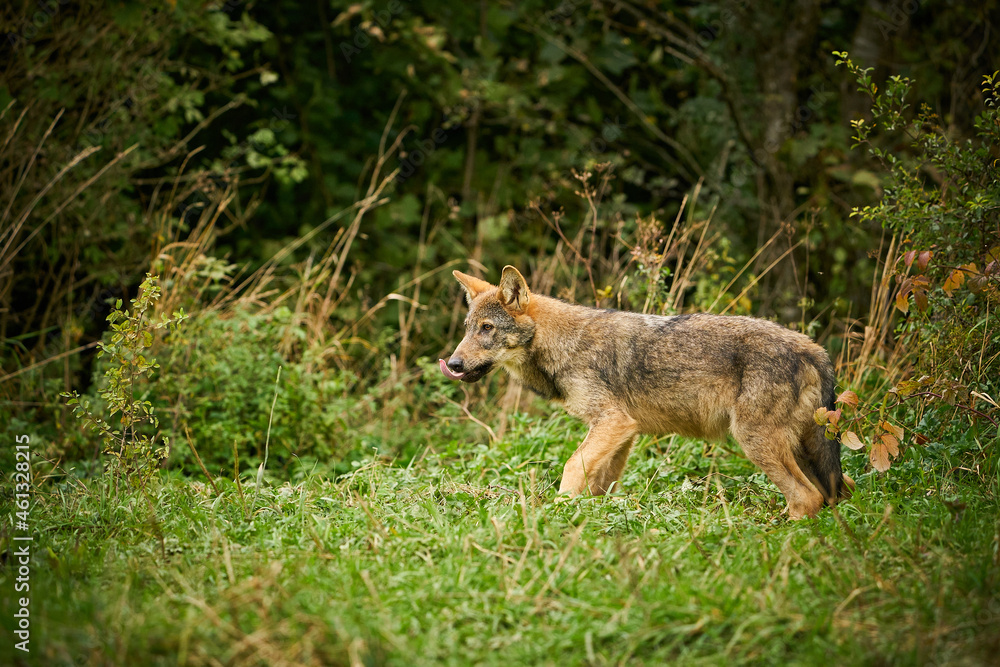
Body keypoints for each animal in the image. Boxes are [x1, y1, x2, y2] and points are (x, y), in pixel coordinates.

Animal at [442, 266, 856, 520]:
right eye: (467, 328)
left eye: (487, 328)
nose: (454, 364)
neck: (562, 343)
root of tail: (814, 350)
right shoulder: (624, 431)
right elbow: (600, 485)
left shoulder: (612, 422)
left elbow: (571, 467)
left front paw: (557, 513)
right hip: (803, 452)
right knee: (840, 490)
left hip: (755, 442)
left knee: (808, 497)